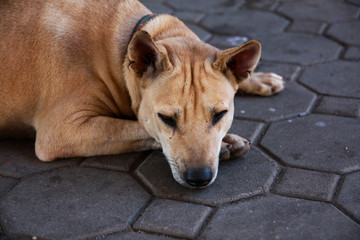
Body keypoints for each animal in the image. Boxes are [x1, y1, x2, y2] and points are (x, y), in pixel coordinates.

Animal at [0, 0, 284, 188]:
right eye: (166, 119)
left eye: (220, 115)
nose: (199, 178)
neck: (119, 51)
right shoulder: (61, 131)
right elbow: (137, 128)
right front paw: (227, 142)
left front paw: (257, 78)